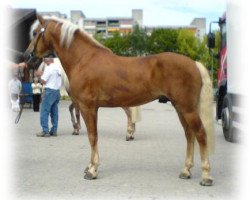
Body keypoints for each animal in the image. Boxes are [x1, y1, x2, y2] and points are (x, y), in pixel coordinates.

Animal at [24, 15, 214, 186]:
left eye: (36, 32)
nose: (27, 55)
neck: (84, 59)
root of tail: (194, 63)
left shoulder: (87, 107)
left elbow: (92, 137)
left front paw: (92, 170)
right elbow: (92, 136)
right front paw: (89, 166)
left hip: (187, 109)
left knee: (201, 134)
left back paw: (206, 176)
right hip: (180, 108)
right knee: (189, 135)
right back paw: (186, 171)